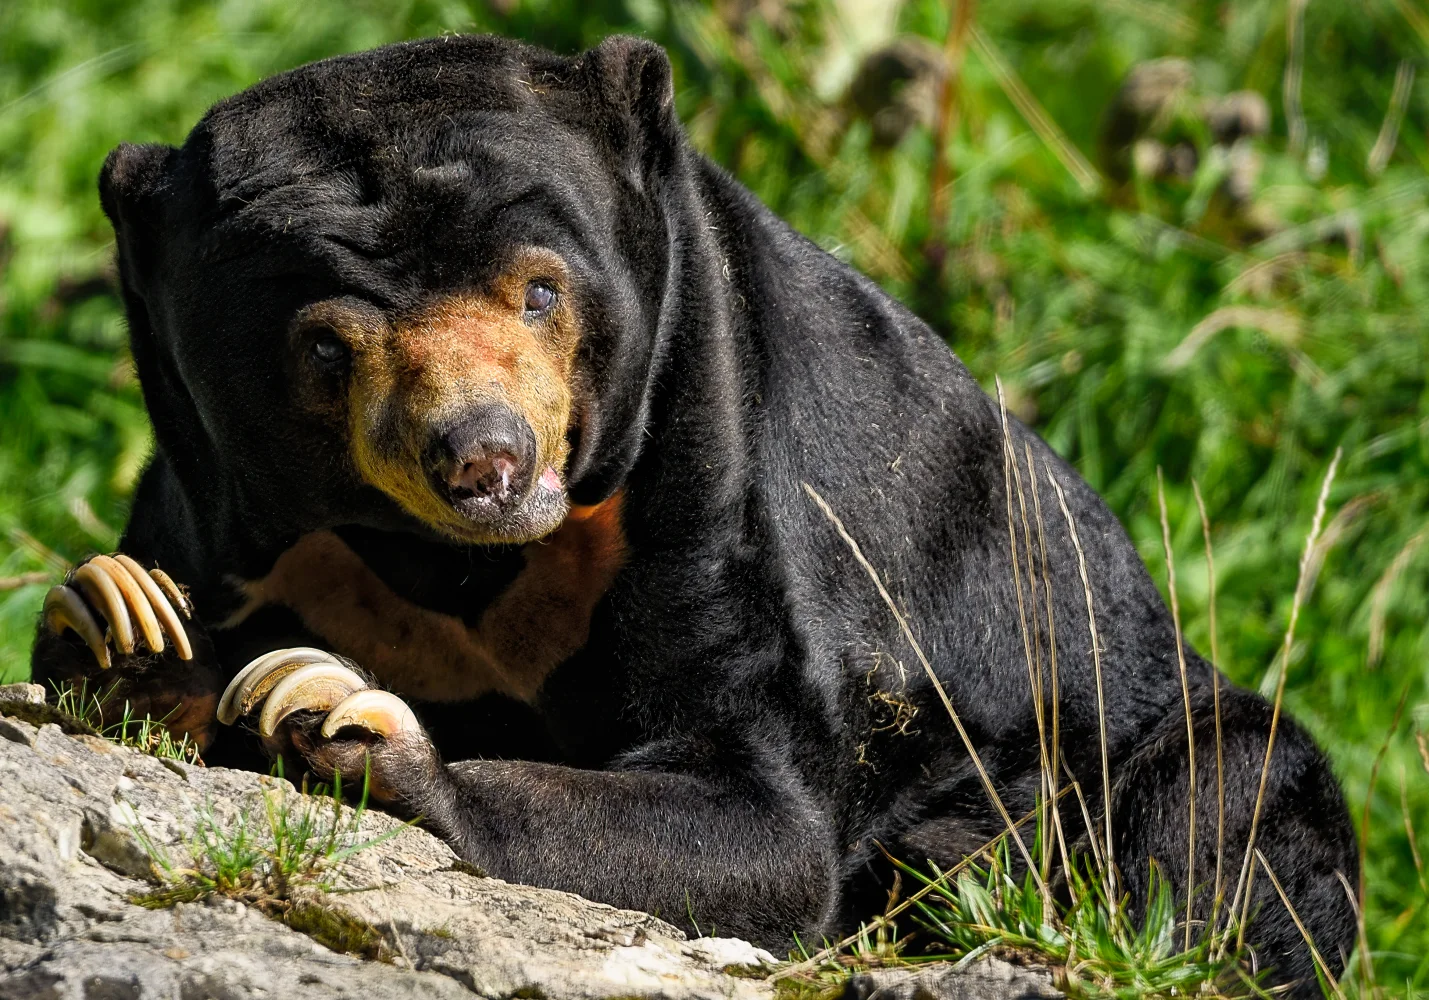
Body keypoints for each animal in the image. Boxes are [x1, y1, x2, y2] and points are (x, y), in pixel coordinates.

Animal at [31, 34, 1355, 993]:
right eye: (322, 348)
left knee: (1222, 810)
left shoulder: (713, 450)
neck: (452, 563)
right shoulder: (214, 497)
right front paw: (119, 619)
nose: (485, 460)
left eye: (541, 289)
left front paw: (335, 711)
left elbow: (757, 810)